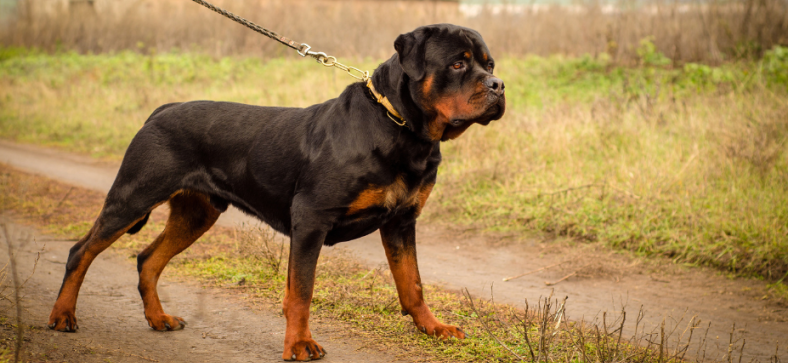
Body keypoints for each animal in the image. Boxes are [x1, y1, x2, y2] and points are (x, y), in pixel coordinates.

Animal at [47, 23, 504, 362]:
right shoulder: (311, 220)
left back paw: (158, 318)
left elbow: (413, 285)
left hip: (197, 213)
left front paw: (433, 327)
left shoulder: (401, 221)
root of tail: (161, 109)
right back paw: (63, 315)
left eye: (489, 64)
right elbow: (301, 291)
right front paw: (299, 344)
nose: (499, 85)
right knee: (82, 251)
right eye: (458, 63)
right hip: (132, 196)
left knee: (148, 258)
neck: (401, 129)